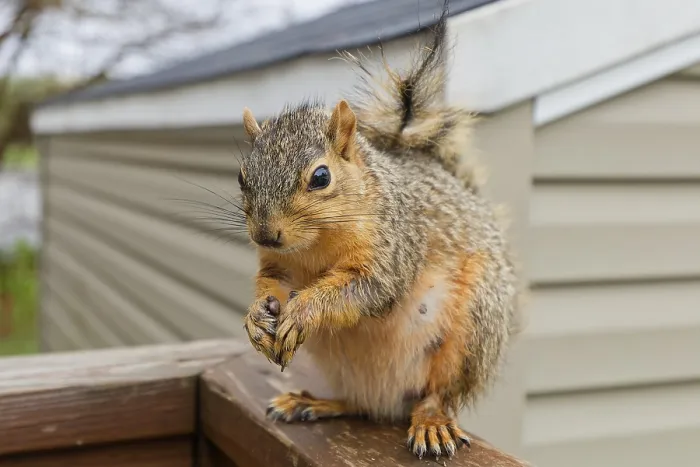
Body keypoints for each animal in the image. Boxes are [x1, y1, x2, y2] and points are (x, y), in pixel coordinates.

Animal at [239, 1, 520, 460]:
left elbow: (368, 289)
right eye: (241, 176)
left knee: (438, 393)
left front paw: (304, 309)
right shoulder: (278, 264)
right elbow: (271, 282)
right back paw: (313, 402)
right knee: (360, 406)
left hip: (472, 331)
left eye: (320, 177)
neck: (316, 245)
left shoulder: (394, 247)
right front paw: (256, 316)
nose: (265, 235)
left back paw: (431, 422)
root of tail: (390, 400)